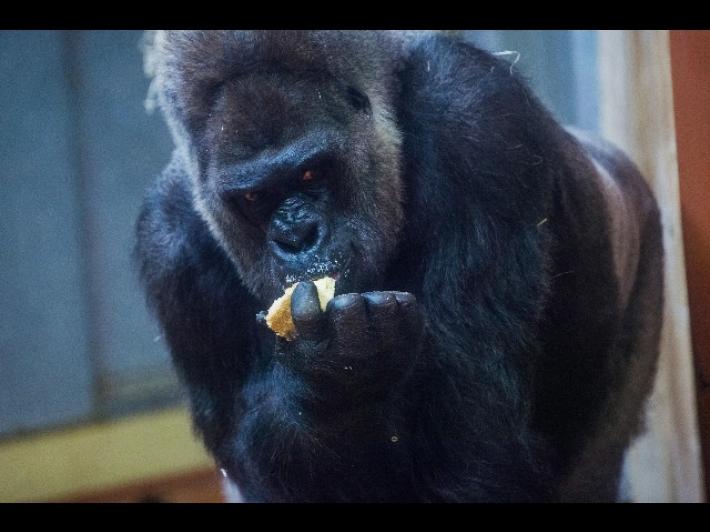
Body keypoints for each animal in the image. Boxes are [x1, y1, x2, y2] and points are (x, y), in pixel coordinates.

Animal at [135, 30, 664, 502]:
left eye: (311, 172)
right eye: (253, 199)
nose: (296, 237)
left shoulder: (477, 115)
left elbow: (478, 445)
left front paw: (332, 368)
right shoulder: (171, 247)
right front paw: (330, 380)